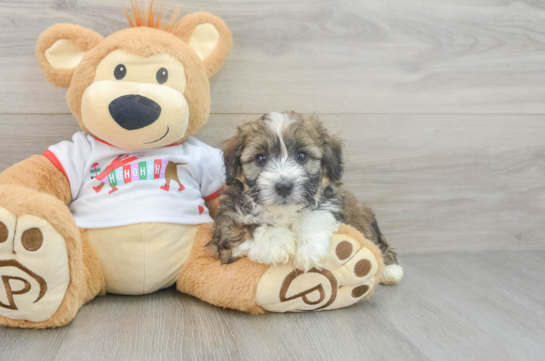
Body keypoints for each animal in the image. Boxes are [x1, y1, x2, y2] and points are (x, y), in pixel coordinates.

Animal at [210, 111, 402, 282]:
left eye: (301, 156)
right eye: (260, 158)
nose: (284, 186)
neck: (283, 212)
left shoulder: (330, 200)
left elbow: (315, 214)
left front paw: (309, 249)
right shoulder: (224, 233)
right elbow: (242, 230)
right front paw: (279, 241)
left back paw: (390, 269)